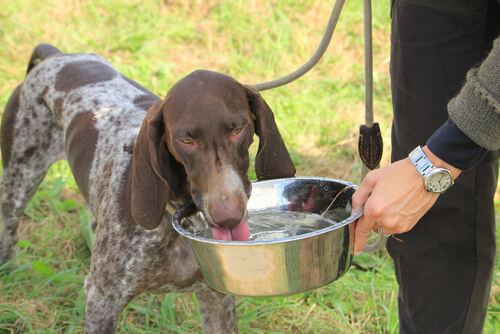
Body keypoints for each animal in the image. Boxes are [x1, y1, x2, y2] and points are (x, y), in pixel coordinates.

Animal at [0, 43, 294, 332]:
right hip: (18, 181)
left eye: (237, 130)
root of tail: (56, 55)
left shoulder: (216, 297)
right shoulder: (103, 300)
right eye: (186, 140)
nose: (228, 216)